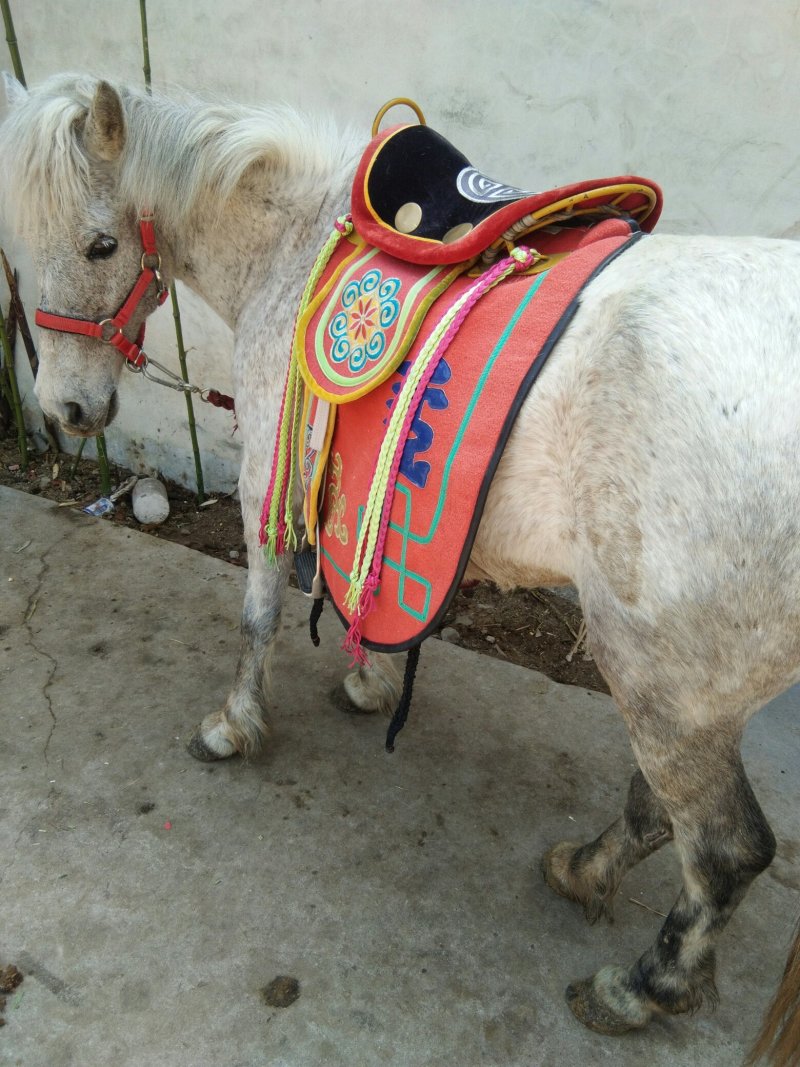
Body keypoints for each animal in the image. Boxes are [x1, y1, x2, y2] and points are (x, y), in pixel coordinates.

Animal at [2, 72, 799, 1063]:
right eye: (18, 246)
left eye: (101, 244)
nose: (68, 407)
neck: (297, 244)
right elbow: (357, 588)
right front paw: (369, 679)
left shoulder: (268, 475)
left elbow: (260, 613)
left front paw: (235, 725)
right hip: (690, 688)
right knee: (662, 813)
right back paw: (582, 869)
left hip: (664, 679)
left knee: (724, 847)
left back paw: (641, 986)